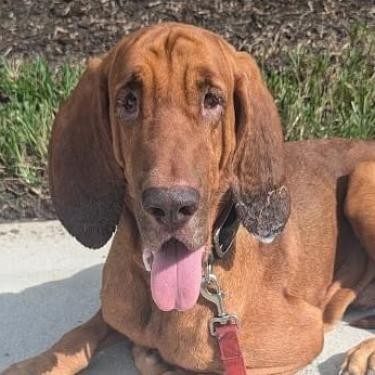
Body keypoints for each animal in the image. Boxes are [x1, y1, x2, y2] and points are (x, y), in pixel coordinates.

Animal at [4, 23, 375, 375]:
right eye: (128, 101)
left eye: (212, 99)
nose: (170, 206)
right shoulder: (114, 308)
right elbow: (81, 332)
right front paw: (37, 364)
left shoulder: (300, 337)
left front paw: (161, 361)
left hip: (362, 181)